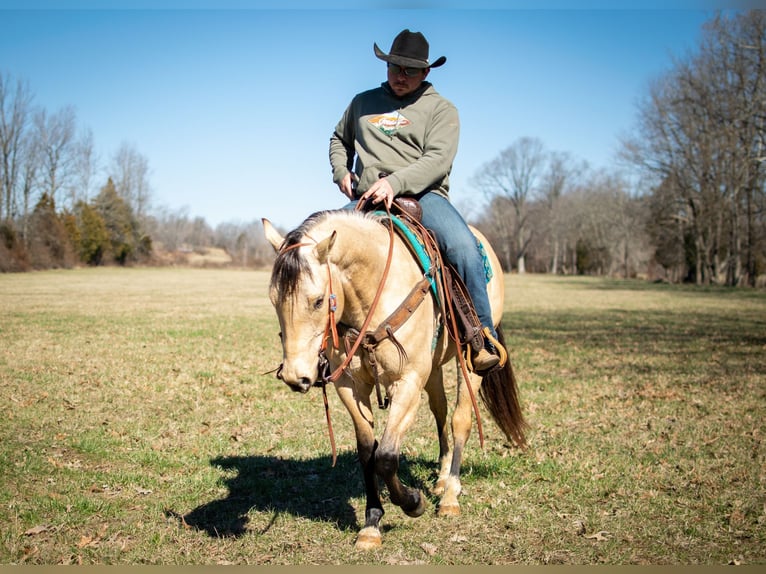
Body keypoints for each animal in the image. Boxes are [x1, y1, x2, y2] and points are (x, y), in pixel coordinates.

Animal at [260, 209, 524, 552]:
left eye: (318, 301)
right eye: (273, 299)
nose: (296, 376)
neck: (372, 296)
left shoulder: (407, 382)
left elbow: (385, 456)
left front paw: (413, 502)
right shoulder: (351, 386)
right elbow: (367, 452)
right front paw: (372, 523)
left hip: (470, 364)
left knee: (460, 420)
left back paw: (450, 494)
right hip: (433, 368)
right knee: (440, 413)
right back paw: (441, 479)